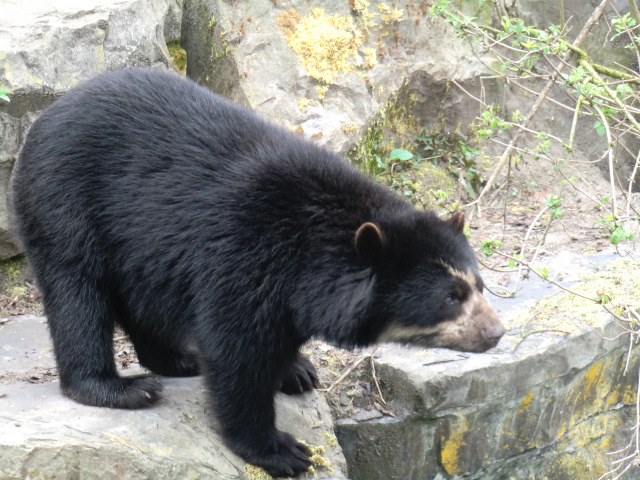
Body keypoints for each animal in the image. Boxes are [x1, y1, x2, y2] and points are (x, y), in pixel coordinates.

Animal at [12, 68, 504, 478]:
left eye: (480, 285)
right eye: (451, 297)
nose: (496, 332)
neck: (311, 249)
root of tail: (45, 116)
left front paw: (297, 371)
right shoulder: (247, 253)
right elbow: (237, 352)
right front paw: (283, 451)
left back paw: (178, 358)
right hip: (66, 203)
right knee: (78, 292)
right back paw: (122, 388)